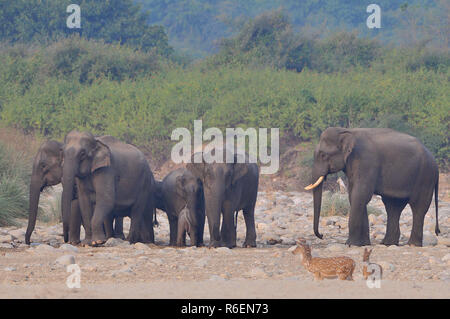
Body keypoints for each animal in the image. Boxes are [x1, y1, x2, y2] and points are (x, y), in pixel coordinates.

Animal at [306, 127, 440, 248]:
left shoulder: (366, 162)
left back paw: (412, 245)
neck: (347, 131)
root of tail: (434, 160)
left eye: (323, 155)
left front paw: (350, 244)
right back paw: (388, 244)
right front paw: (362, 244)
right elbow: (354, 196)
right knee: (393, 206)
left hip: (425, 176)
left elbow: (361, 195)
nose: (322, 235)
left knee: (418, 206)